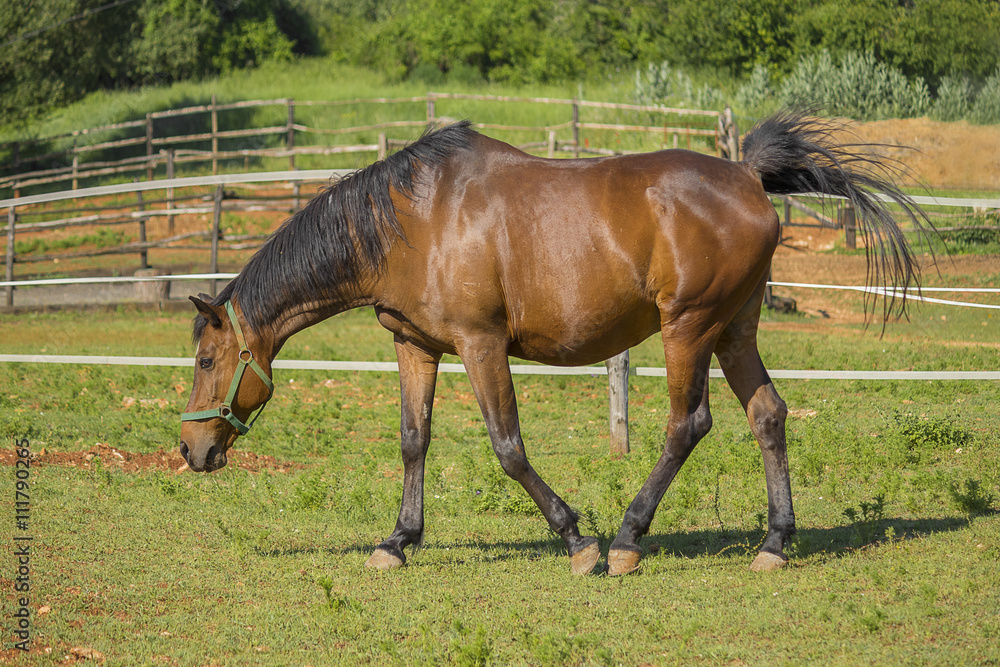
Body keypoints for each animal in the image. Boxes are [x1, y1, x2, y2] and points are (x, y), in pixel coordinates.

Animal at [179, 111, 925, 576]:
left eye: (207, 359)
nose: (192, 450)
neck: (414, 220)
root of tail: (746, 176)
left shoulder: (481, 344)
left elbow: (508, 446)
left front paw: (577, 540)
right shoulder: (416, 346)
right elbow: (414, 441)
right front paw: (397, 541)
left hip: (689, 327)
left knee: (688, 423)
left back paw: (627, 538)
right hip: (734, 328)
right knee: (767, 414)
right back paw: (774, 542)